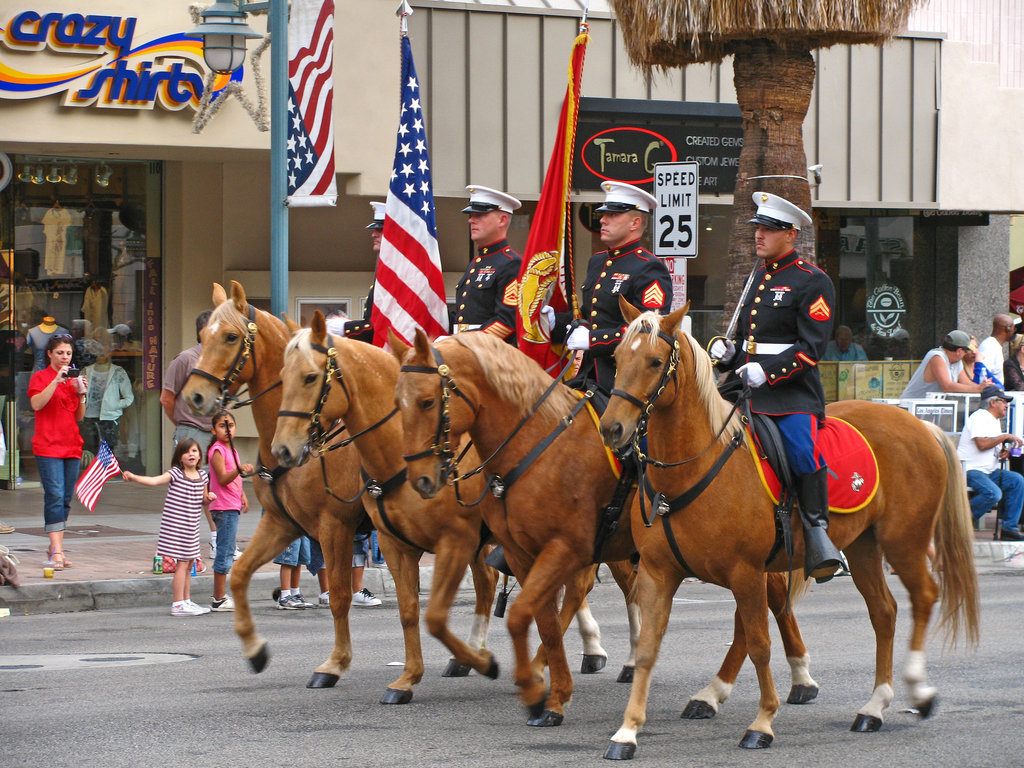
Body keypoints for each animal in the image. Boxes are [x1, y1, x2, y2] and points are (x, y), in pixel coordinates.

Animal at [270, 313, 638, 684]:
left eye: (310, 377)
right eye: (283, 377)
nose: (283, 449)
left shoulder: (450, 538)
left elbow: (427, 613)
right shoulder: (390, 542)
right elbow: (408, 610)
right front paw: (407, 679)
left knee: (617, 585)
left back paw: (623, 660)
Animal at [391, 329, 823, 729]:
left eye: (428, 401)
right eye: (398, 403)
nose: (422, 479)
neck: (538, 441)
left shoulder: (563, 547)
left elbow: (521, 616)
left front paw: (536, 689)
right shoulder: (522, 552)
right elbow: (540, 621)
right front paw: (546, 691)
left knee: (767, 599)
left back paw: (791, 678)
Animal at [598, 299, 983, 757]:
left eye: (656, 362)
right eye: (617, 357)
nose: (612, 428)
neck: (690, 466)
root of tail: (920, 423)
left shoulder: (745, 572)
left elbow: (760, 645)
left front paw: (763, 722)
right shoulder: (658, 574)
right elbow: (647, 650)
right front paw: (627, 731)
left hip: (904, 540)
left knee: (922, 597)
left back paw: (916, 690)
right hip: (863, 546)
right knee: (883, 612)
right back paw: (874, 706)